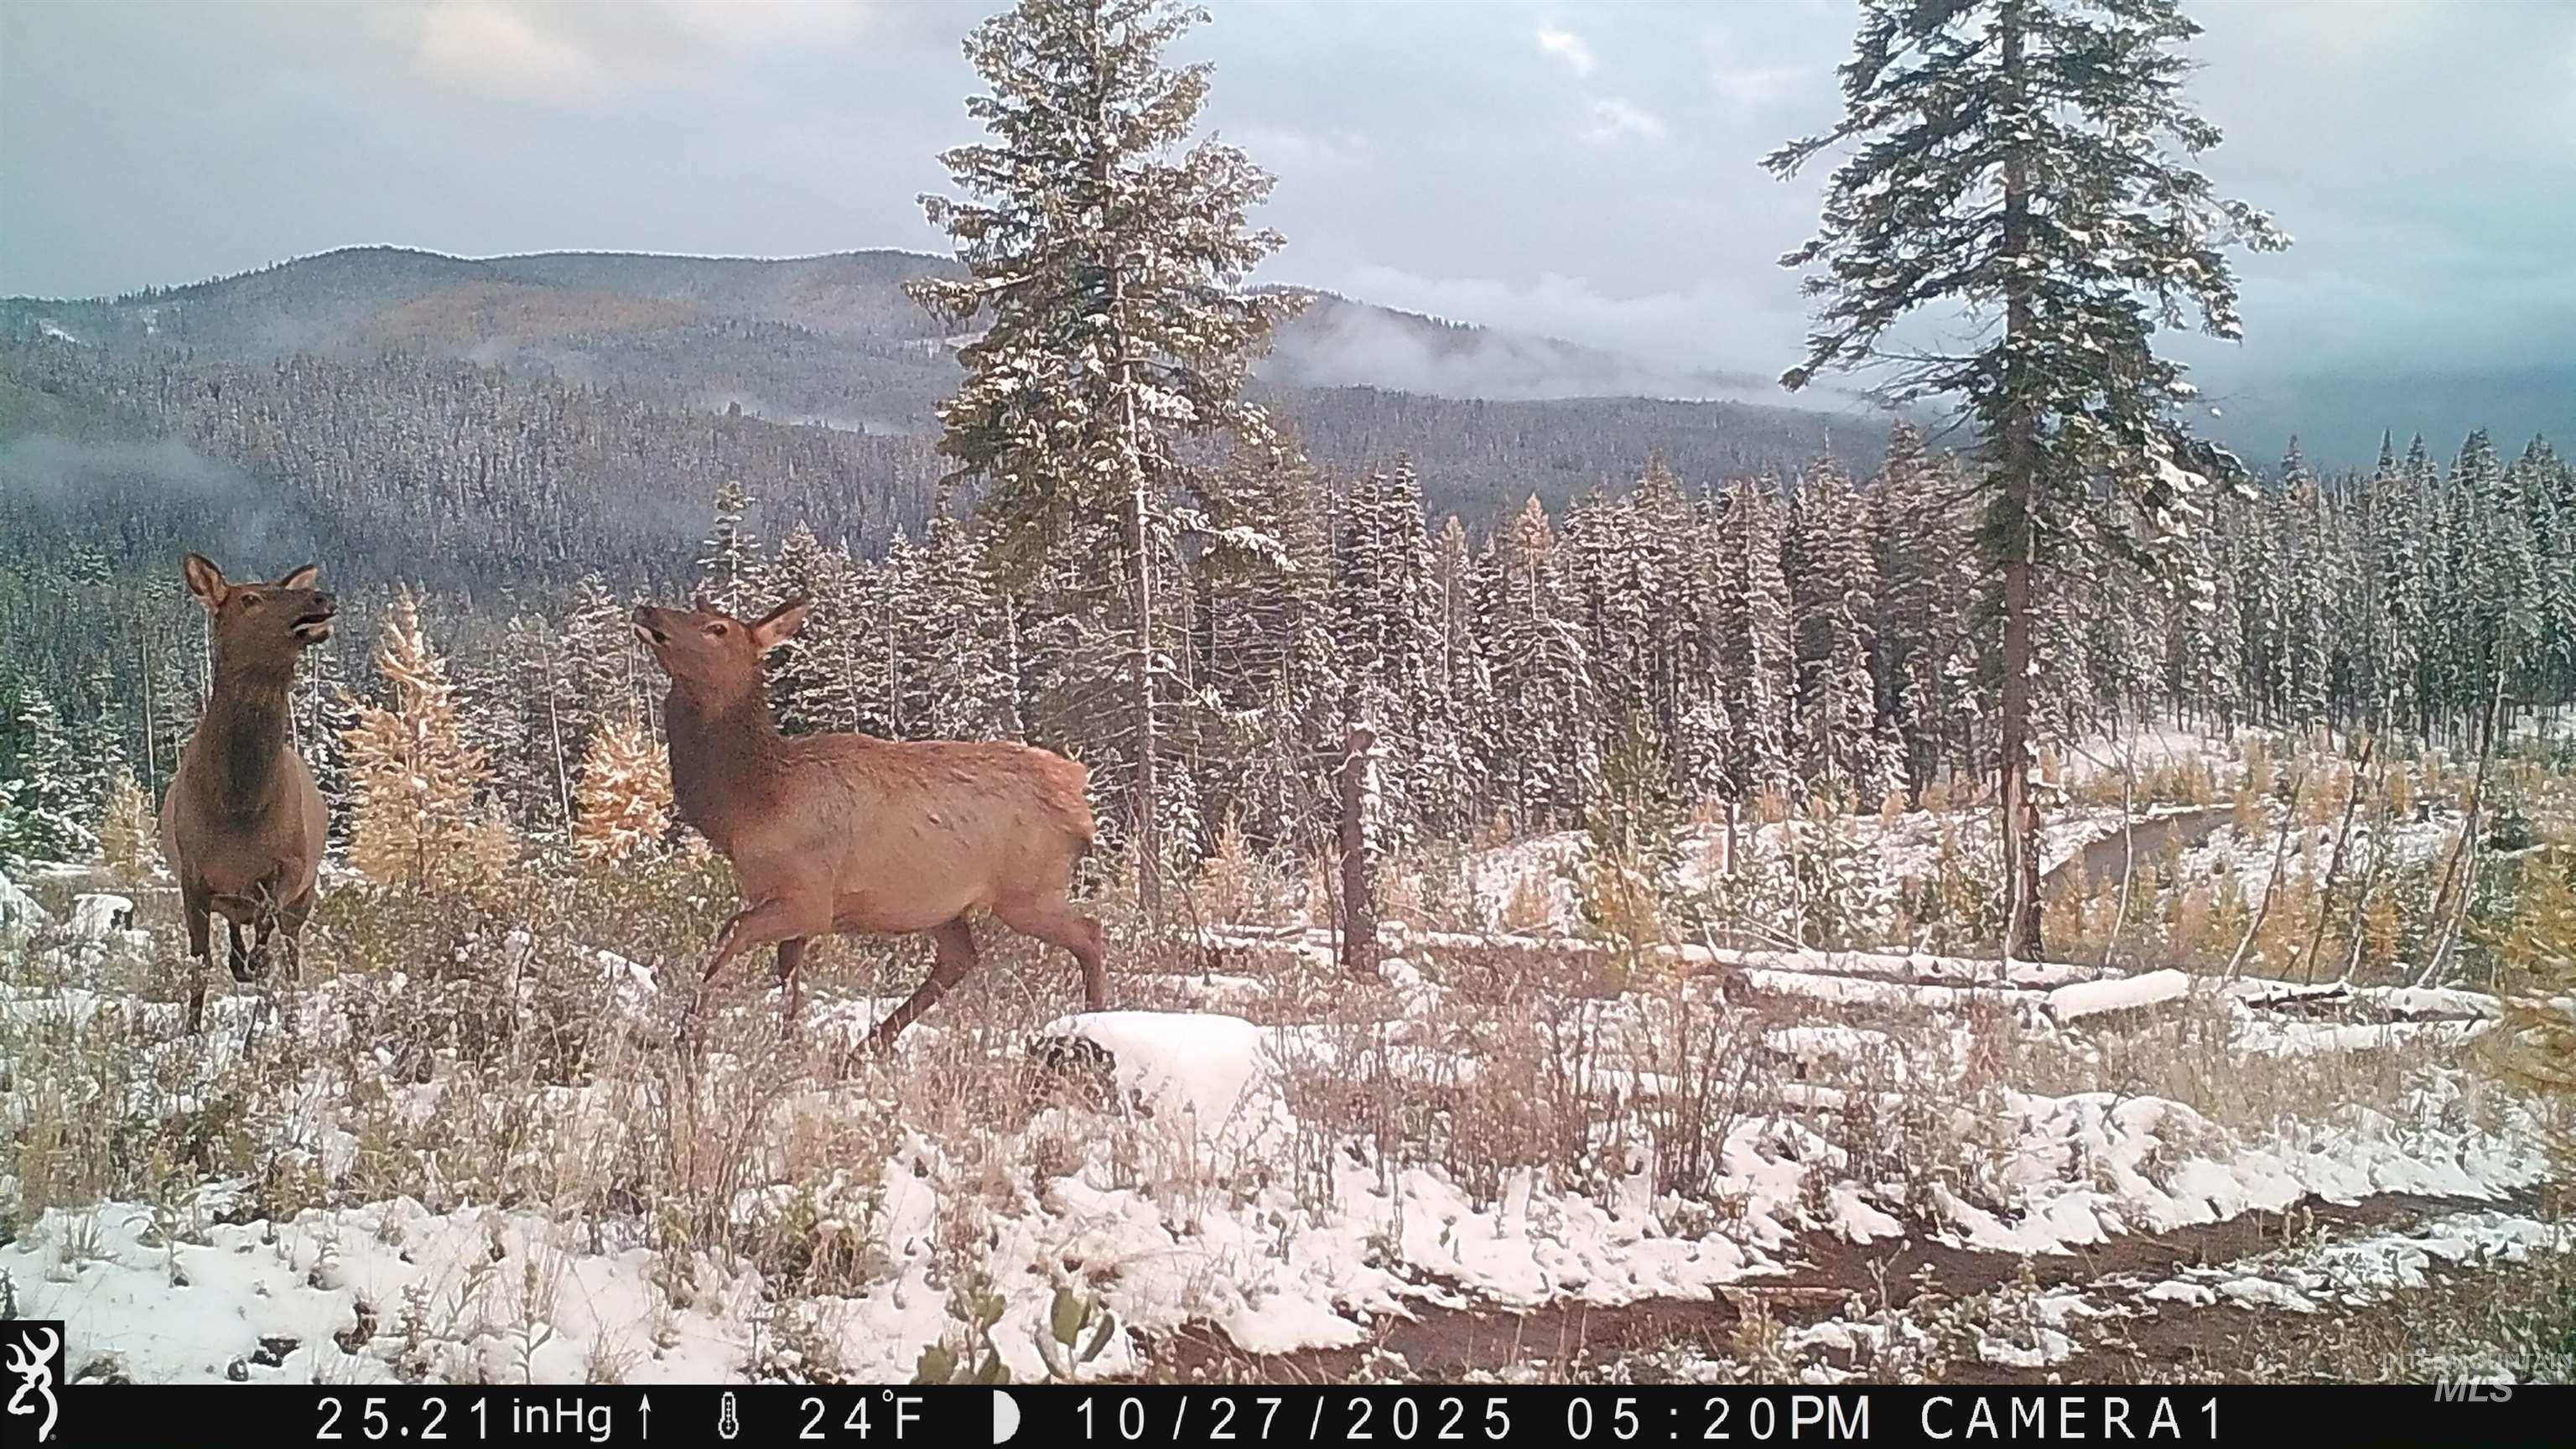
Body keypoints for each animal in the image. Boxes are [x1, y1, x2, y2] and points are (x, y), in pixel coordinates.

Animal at [159, 555, 335, 1031]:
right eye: (250, 599)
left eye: (288, 590)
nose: (321, 597)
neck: (239, 804)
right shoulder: (192, 877)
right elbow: (200, 964)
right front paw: (192, 1032)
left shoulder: (289, 869)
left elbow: (267, 938)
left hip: (305, 897)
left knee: (291, 957)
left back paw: (288, 1017)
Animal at [632, 595, 1107, 1048]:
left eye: (717, 629)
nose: (648, 610)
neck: (748, 808)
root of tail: (1079, 797)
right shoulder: (790, 903)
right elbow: (788, 974)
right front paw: (788, 1045)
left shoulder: (809, 895)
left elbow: (732, 933)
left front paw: (687, 1037)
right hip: (942, 904)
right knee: (959, 959)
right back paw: (865, 1048)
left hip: (1028, 888)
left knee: (1089, 931)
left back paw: (1094, 1022)